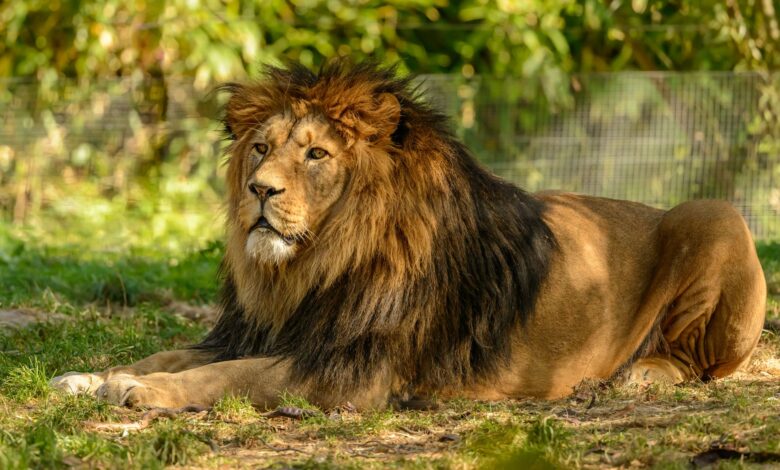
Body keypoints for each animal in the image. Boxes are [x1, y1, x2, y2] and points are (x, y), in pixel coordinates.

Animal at [51, 60, 766, 409]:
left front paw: (144, 391)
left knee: (700, 364)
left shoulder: (354, 372)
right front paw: (89, 378)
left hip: (714, 214)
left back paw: (636, 377)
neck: (311, 266)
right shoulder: (262, 332)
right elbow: (173, 353)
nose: (260, 190)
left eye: (316, 155)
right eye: (260, 149)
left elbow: (228, 378)